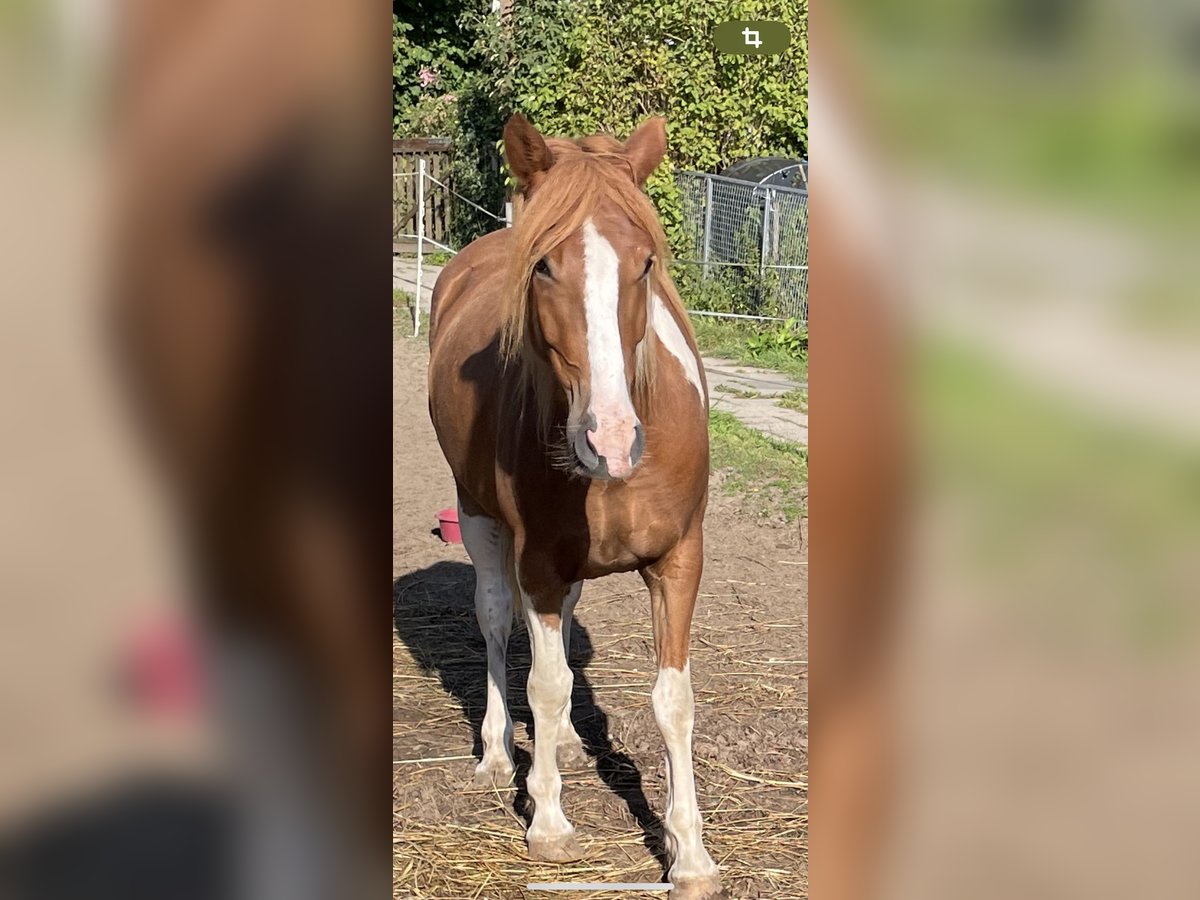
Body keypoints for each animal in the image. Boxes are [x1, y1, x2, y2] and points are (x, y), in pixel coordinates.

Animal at [424, 116, 715, 897]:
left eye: (646, 264)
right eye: (545, 268)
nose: (609, 440)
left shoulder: (679, 561)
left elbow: (673, 701)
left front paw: (689, 854)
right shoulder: (540, 566)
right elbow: (546, 683)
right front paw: (549, 824)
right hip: (481, 518)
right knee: (497, 623)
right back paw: (499, 753)